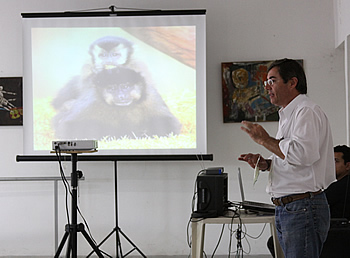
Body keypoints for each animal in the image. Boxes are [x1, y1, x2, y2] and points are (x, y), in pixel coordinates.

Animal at [52, 66, 183, 139]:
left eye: (125, 86)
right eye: (112, 88)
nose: (121, 96)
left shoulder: (151, 97)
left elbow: (170, 124)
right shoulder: (92, 101)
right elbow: (67, 126)